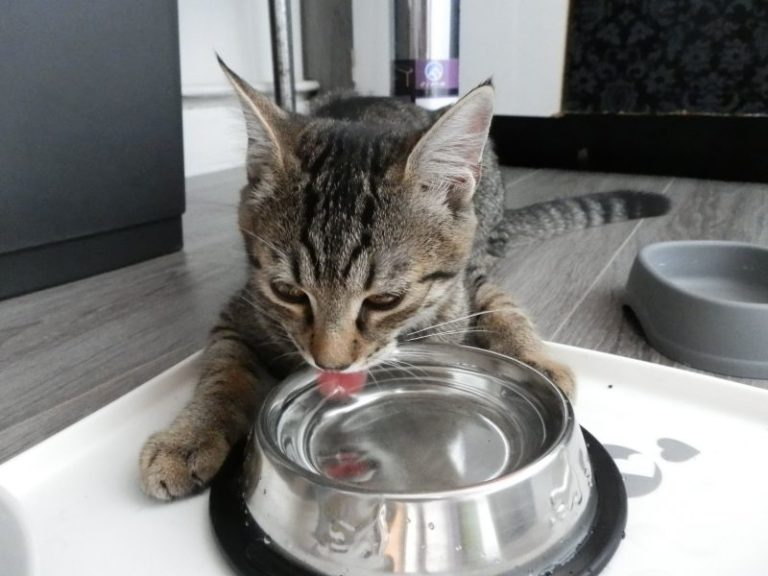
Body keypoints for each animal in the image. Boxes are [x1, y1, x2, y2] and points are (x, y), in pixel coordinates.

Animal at [141, 57, 668, 500]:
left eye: (384, 301)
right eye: (288, 292)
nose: (330, 363)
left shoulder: (462, 290)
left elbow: (498, 307)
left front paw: (532, 359)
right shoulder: (240, 311)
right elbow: (223, 369)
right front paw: (188, 437)